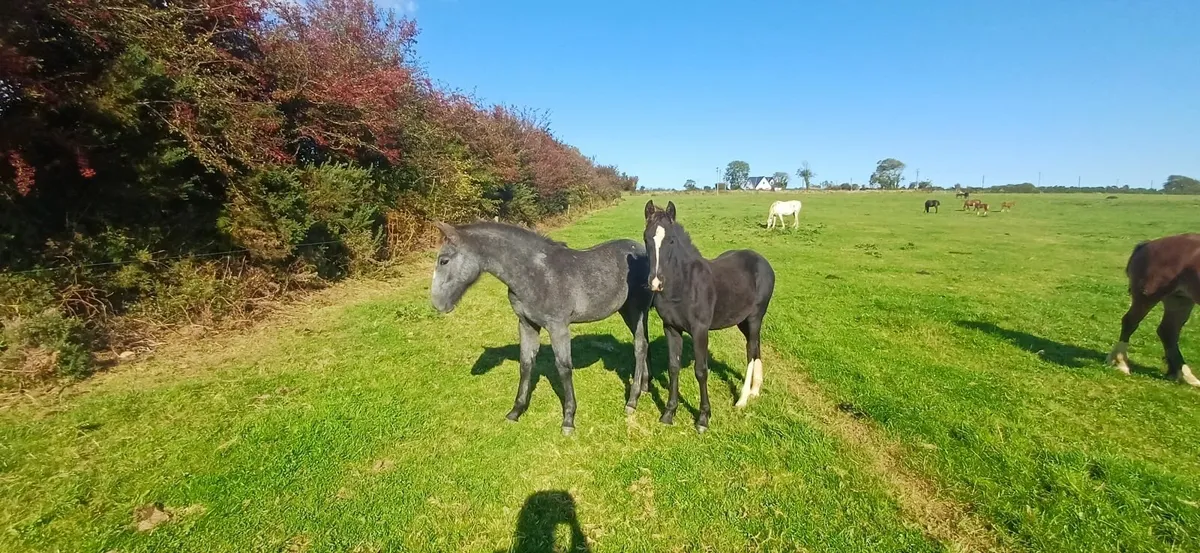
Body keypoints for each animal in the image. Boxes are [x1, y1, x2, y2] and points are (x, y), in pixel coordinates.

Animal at [430, 220, 653, 434]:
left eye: (444, 260)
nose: (437, 304)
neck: (536, 274)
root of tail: (643, 251)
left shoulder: (558, 327)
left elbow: (564, 368)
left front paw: (568, 420)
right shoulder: (527, 324)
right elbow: (526, 364)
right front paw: (516, 411)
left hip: (636, 310)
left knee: (639, 346)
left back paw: (632, 401)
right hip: (628, 312)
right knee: (645, 344)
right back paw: (644, 387)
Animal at [641, 200, 776, 432]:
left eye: (671, 239)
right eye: (646, 238)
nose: (656, 282)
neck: (684, 285)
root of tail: (763, 261)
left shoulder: (700, 330)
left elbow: (701, 371)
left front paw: (703, 418)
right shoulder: (671, 328)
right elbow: (673, 367)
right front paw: (669, 413)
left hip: (755, 317)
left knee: (751, 351)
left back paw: (742, 399)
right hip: (742, 321)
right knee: (756, 346)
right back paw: (755, 390)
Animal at [1106, 233, 1200, 387]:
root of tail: (1147, 244)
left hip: (1179, 299)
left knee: (1167, 331)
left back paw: (1183, 375)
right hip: (1148, 297)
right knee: (1130, 322)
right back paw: (1121, 363)